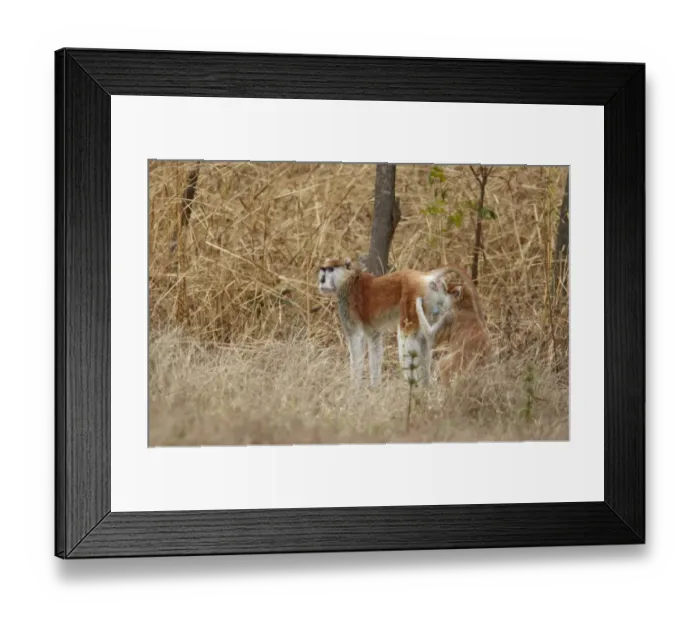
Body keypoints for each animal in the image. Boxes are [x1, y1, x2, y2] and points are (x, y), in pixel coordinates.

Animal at [318, 257, 459, 386]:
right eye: (323, 270)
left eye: (330, 269)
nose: (322, 280)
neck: (349, 279)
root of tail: (425, 276)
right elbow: (374, 340)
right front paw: (374, 388)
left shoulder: (347, 304)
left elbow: (356, 339)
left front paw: (354, 387)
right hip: (434, 302)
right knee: (424, 338)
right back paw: (425, 389)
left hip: (413, 298)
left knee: (406, 336)